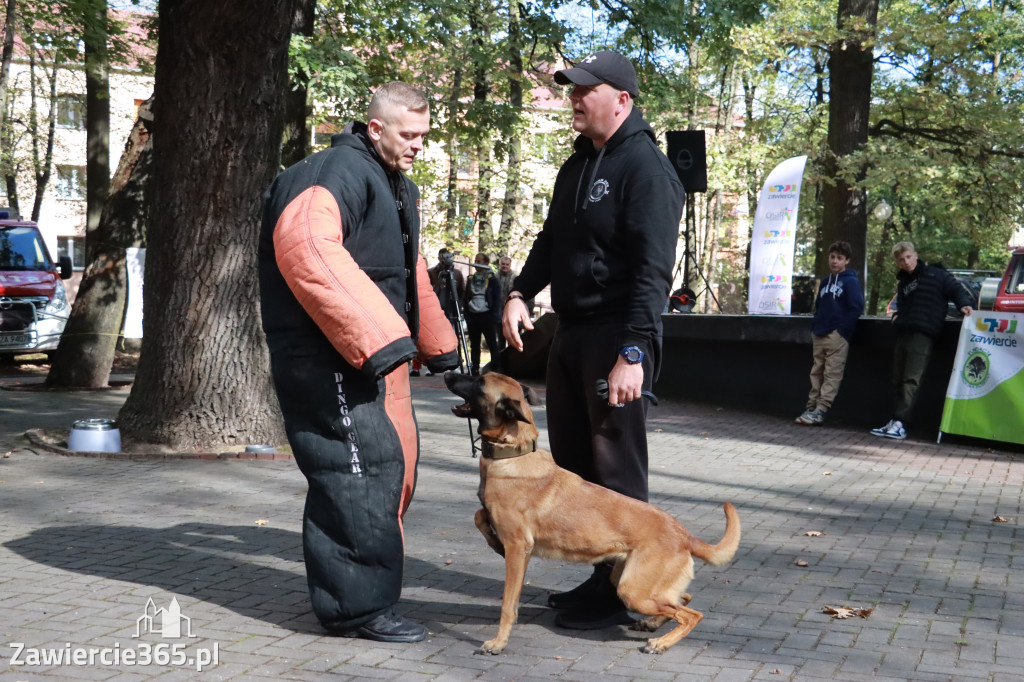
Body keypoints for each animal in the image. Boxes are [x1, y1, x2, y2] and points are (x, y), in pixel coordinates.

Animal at [444, 372, 741, 655]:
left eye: (479, 383)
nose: (447, 374)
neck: (513, 454)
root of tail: (685, 535)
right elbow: (479, 515)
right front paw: (492, 540)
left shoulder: (518, 549)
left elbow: (508, 605)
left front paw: (498, 643)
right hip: (631, 582)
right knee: (682, 600)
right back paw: (652, 625)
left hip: (633, 591)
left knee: (691, 614)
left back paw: (660, 643)